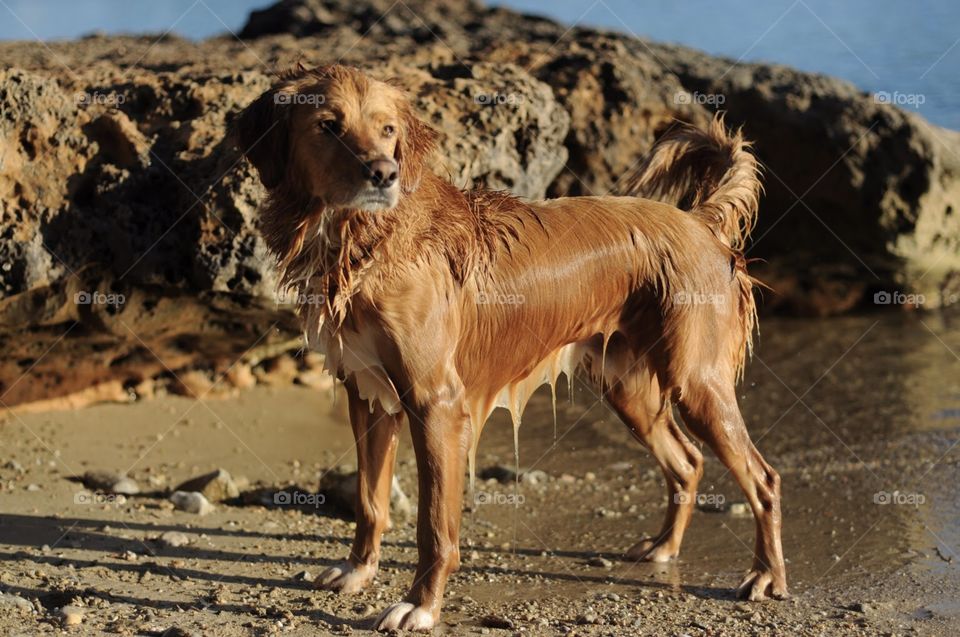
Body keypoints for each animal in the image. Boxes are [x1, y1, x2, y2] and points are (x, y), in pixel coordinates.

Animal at [238, 64, 788, 632]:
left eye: (388, 130)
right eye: (328, 125)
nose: (383, 173)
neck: (368, 241)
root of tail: (697, 223)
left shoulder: (437, 403)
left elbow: (434, 525)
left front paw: (421, 604)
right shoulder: (368, 396)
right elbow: (370, 501)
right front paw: (357, 571)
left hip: (695, 380)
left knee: (763, 478)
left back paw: (766, 577)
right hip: (627, 387)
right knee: (688, 462)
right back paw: (664, 547)